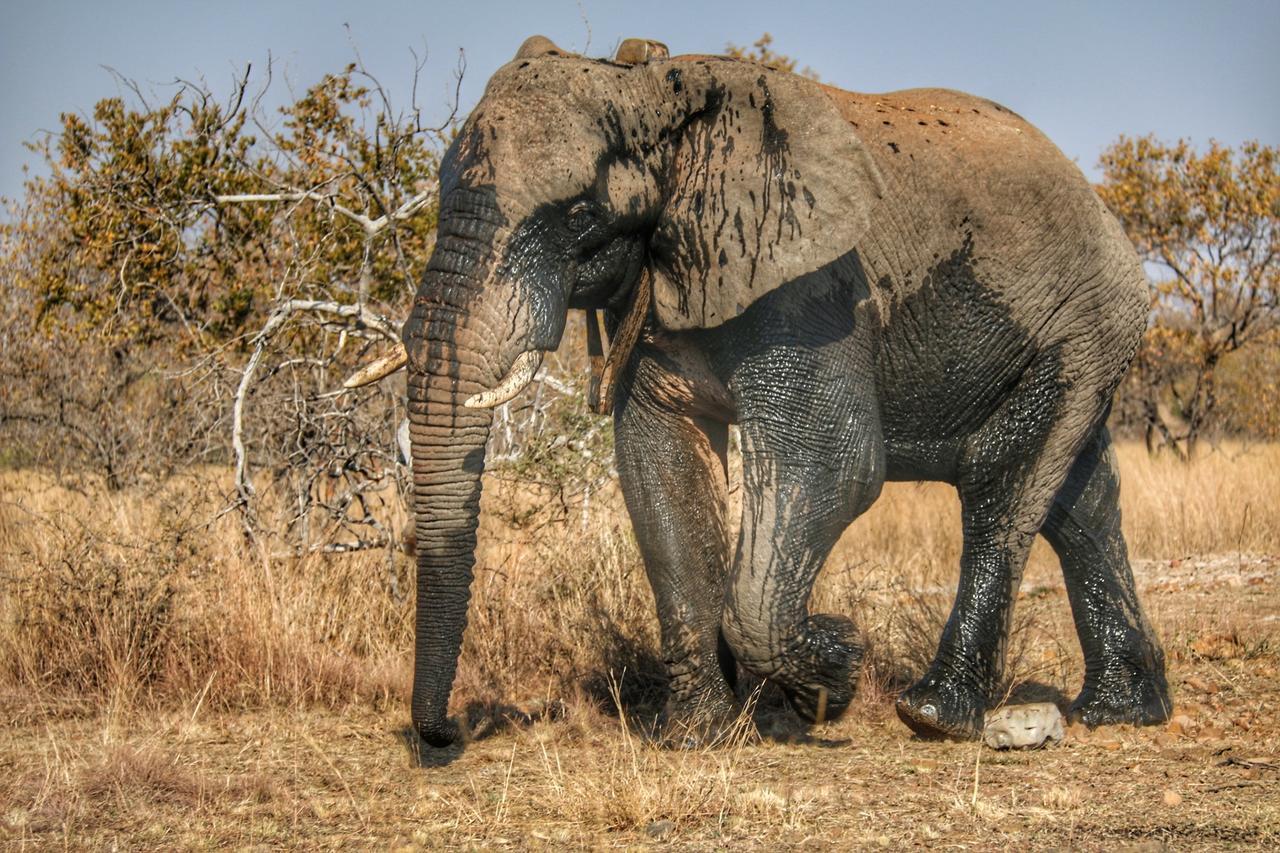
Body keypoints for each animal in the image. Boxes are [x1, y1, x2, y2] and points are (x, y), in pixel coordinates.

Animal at [350, 34, 1172, 742]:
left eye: (578, 212)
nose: (447, 730)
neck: (651, 91)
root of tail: (1103, 208)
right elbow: (659, 462)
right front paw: (698, 736)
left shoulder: (811, 293)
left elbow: (834, 464)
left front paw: (835, 671)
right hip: (1083, 331)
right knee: (1079, 498)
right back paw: (1123, 712)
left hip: (1086, 318)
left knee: (1002, 483)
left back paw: (934, 713)